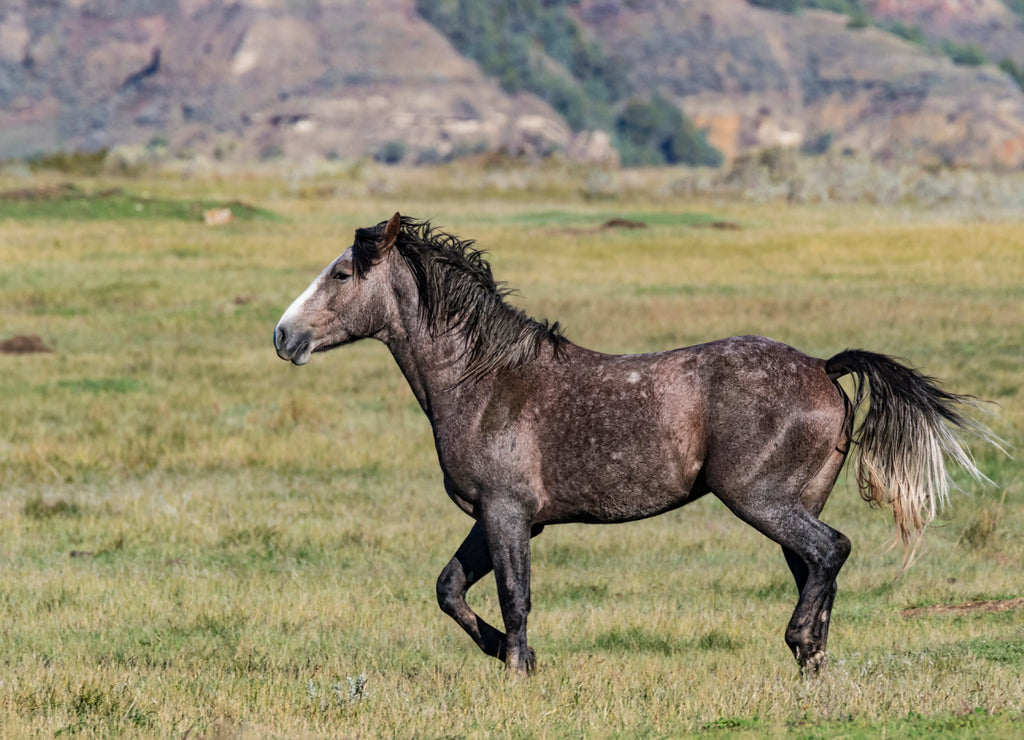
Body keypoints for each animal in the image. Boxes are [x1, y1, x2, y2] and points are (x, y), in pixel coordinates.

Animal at [274, 212, 991, 675]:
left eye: (342, 274)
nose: (284, 336)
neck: (483, 379)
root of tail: (823, 366)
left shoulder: (506, 515)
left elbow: (514, 597)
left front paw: (519, 666)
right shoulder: (499, 517)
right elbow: (451, 589)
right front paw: (505, 653)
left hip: (760, 500)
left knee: (831, 551)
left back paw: (798, 644)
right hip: (793, 505)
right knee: (819, 567)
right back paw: (811, 661)